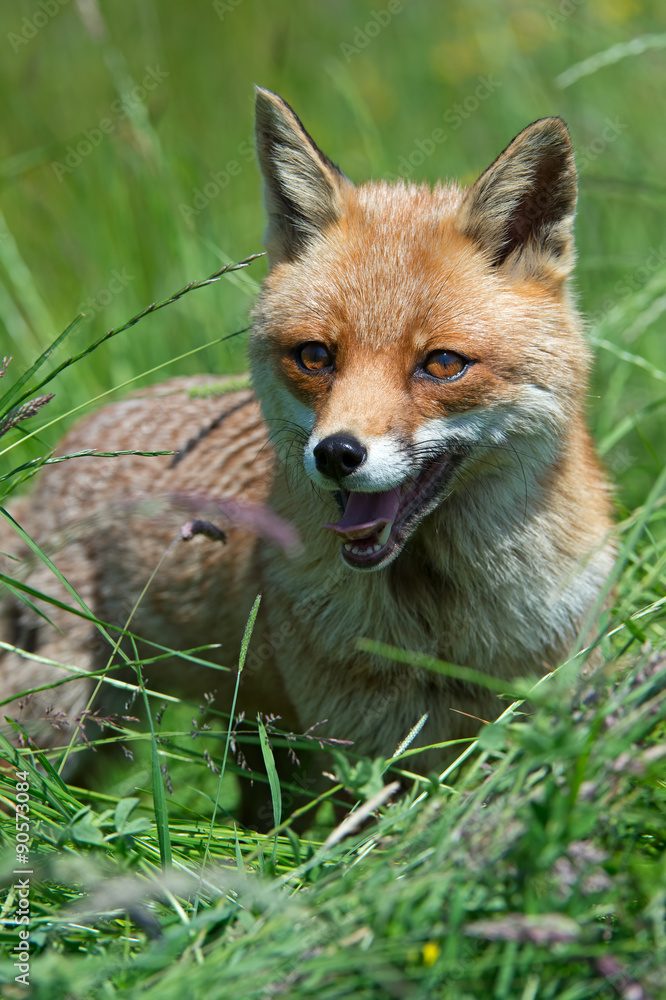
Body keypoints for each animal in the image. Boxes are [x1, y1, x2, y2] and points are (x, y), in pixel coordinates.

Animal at [0, 87, 615, 790]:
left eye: (442, 364)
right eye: (316, 356)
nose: (336, 453)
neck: (440, 628)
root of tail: (61, 456)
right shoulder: (354, 755)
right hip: (64, 728)